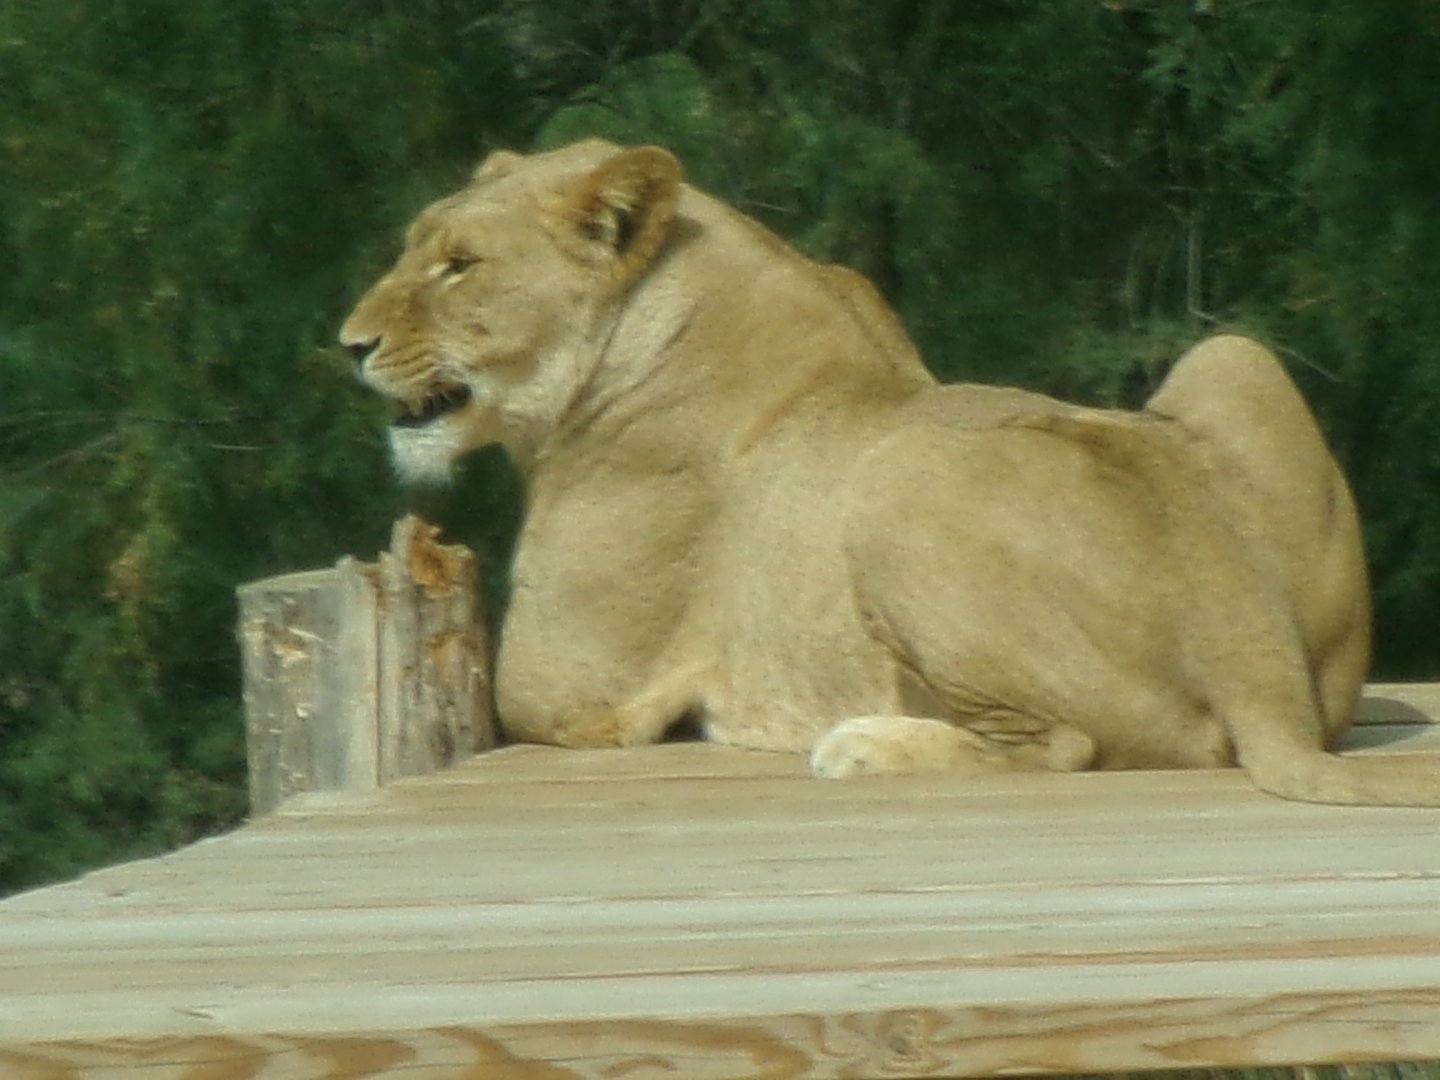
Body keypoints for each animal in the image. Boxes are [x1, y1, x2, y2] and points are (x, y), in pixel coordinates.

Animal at [341, 138, 1439, 806]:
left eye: (459, 265)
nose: (349, 344)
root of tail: (1253, 651)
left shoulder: (571, 688)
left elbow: (514, 696)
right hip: (1235, 355)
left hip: (897, 477)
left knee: (1067, 745)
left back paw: (862, 744)